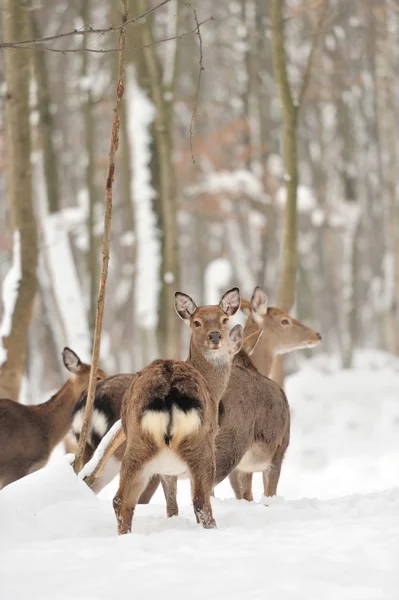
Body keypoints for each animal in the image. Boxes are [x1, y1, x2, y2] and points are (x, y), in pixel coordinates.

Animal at [111, 288, 244, 532]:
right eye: (196, 322)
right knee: (201, 503)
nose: (215, 336)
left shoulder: (165, 470)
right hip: (200, 445)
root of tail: (169, 389)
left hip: (138, 443)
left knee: (120, 499)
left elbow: (171, 505)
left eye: (224, 319)